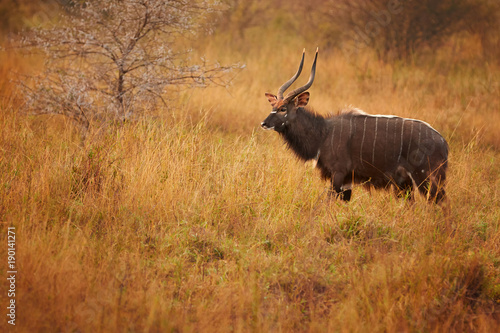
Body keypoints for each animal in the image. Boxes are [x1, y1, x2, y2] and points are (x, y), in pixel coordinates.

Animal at [262, 47, 450, 201]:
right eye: (273, 106)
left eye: (283, 108)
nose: (264, 123)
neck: (323, 133)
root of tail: (443, 142)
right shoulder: (347, 181)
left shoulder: (338, 174)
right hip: (405, 184)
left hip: (425, 178)